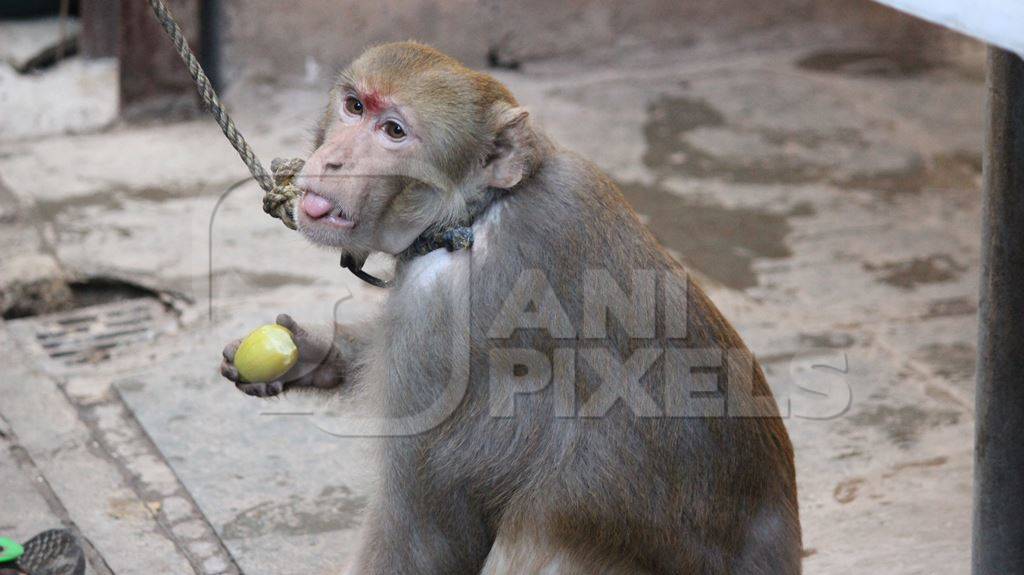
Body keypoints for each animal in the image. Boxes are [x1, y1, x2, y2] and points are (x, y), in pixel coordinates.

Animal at [220, 42, 802, 568]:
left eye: (394, 132)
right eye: (354, 106)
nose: (334, 161)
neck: (473, 216)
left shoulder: (436, 324)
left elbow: (424, 529)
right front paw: (311, 357)